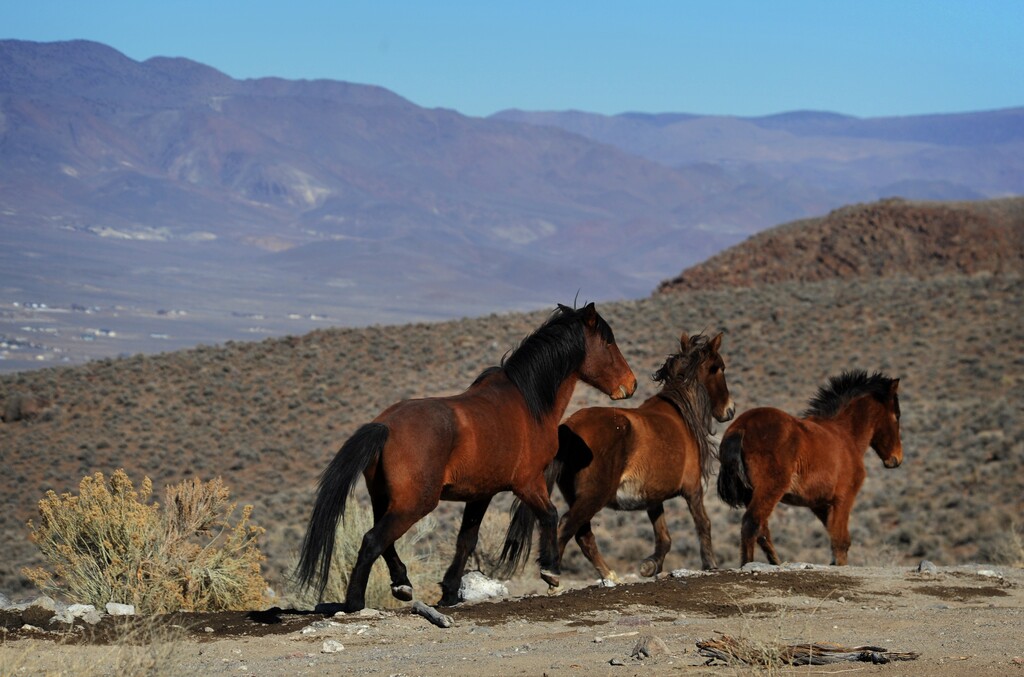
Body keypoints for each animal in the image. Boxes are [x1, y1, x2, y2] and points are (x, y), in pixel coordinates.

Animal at [295, 302, 637, 612]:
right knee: (371, 540)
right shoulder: (527, 483)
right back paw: (355, 602)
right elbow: (550, 515)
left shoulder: (480, 494)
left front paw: (448, 592)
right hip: (415, 503)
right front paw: (550, 571)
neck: (529, 403)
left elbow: (466, 540)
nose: (631, 384)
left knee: (384, 541)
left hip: (386, 499)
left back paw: (403, 585)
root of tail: (385, 426)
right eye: (608, 341)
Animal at [500, 331, 735, 585]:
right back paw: (552, 574)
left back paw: (609, 575)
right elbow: (703, 523)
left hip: (580, 498)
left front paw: (651, 565)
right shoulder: (693, 489)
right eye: (720, 368)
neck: (681, 413)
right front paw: (710, 564)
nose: (730, 410)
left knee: (584, 536)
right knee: (567, 527)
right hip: (594, 496)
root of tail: (568, 427)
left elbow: (663, 536)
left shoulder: (653, 498)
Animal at [716, 370, 903, 566]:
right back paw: (748, 564)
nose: (896, 459)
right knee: (751, 524)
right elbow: (841, 542)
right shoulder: (844, 498)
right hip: (769, 490)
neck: (846, 435)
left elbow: (834, 539)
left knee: (762, 531)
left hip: (750, 494)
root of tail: (740, 428)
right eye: (897, 416)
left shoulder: (819, 504)